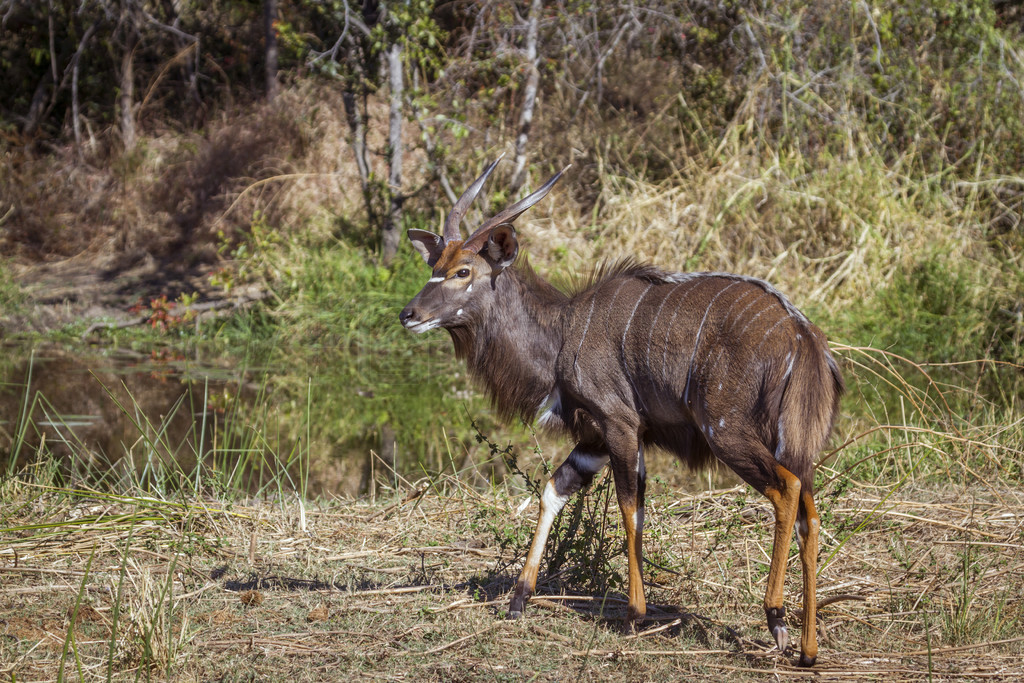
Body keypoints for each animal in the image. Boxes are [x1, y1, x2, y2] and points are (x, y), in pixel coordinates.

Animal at [399, 160, 839, 667]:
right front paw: (518, 599)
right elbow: (555, 490)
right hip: (794, 443)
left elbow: (629, 508)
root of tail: (802, 334)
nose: (408, 314)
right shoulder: (595, 437)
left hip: (727, 431)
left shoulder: (620, 425)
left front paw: (634, 613)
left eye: (463, 270)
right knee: (810, 511)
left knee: (786, 490)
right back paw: (807, 648)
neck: (561, 333)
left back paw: (776, 617)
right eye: (434, 267)